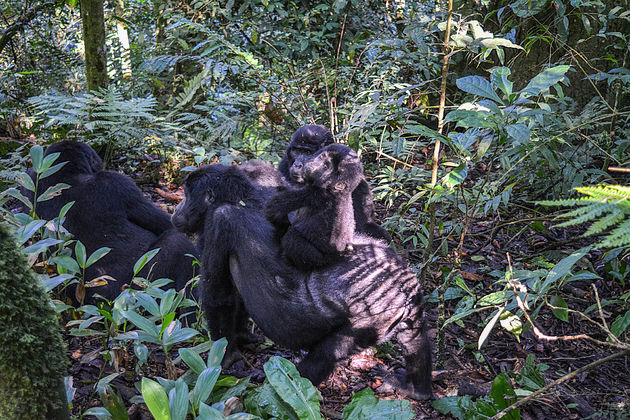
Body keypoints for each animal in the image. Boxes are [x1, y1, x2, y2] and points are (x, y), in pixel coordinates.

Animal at [170, 162, 432, 398]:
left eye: (187, 194)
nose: (177, 208)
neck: (242, 196)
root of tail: (404, 285)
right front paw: (243, 337)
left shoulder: (219, 220)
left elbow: (219, 295)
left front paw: (227, 358)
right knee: (415, 336)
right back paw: (416, 388)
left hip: (375, 313)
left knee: (328, 353)